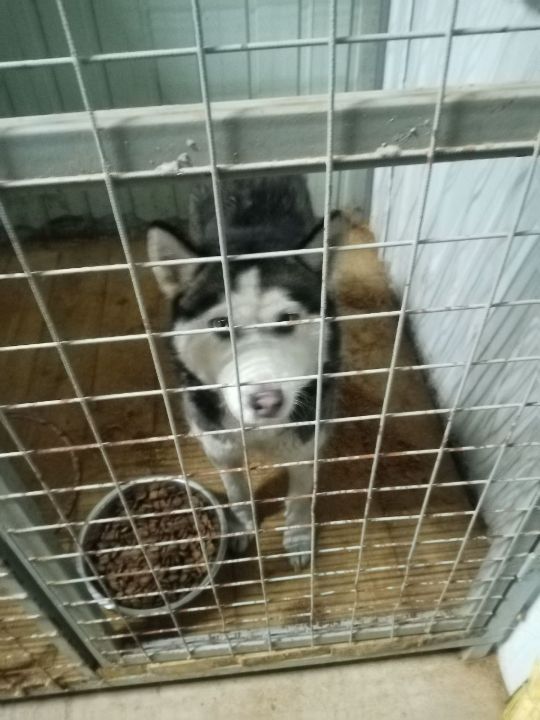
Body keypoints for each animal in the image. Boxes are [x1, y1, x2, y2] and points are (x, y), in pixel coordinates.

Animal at [147, 176, 343, 568]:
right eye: (221, 324)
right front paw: (239, 525)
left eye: (287, 319)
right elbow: (236, 489)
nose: (266, 401)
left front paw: (298, 536)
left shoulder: (307, 443)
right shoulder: (220, 446)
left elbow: (300, 494)